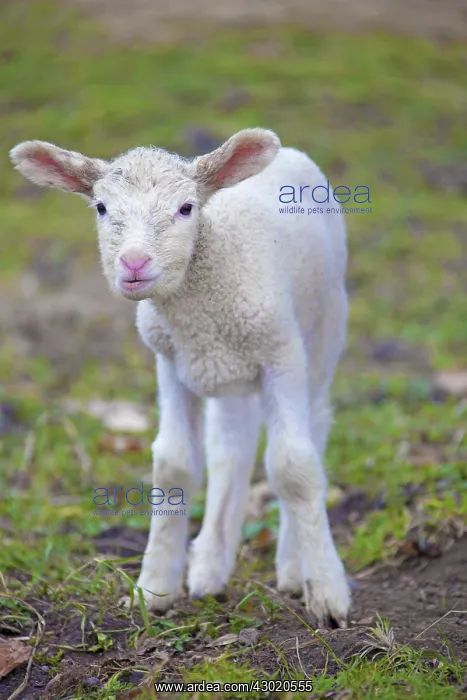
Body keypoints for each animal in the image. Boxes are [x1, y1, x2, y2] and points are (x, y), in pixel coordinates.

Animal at [10, 128, 350, 628]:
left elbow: (295, 467)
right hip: (224, 373)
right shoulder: (170, 360)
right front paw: (155, 588)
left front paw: (327, 593)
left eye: (187, 208)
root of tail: (289, 152)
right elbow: (175, 464)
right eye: (101, 207)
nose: (133, 263)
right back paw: (210, 566)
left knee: (317, 422)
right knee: (231, 445)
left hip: (322, 327)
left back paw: (291, 566)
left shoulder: (281, 355)